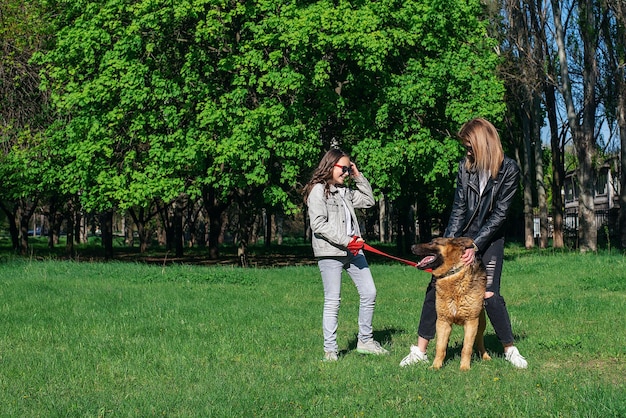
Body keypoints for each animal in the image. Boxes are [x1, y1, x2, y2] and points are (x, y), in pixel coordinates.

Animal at [412, 237, 490, 370]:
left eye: (432, 242)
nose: (412, 246)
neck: (452, 272)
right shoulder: (443, 322)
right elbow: (440, 348)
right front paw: (436, 366)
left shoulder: (471, 321)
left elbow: (466, 348)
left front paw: (464, 368)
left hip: (480, 323)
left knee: (479, 340)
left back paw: (485, 356)